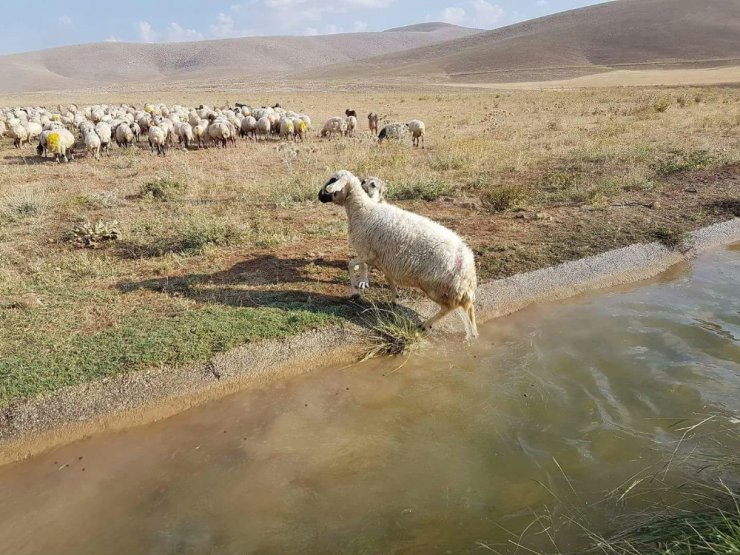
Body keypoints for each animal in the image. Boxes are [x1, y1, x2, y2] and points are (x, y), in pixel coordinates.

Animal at [316, 169, 476, 336]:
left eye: (333, 180)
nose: (319, 195)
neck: (363, 210)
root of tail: (469, 274)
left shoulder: (367, 253)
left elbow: (351, 264)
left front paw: (355, 291)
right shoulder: (383, 259)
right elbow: (388, 278)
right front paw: (395, 297)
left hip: (436, 287)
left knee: (448, 308)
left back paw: (426, 324)